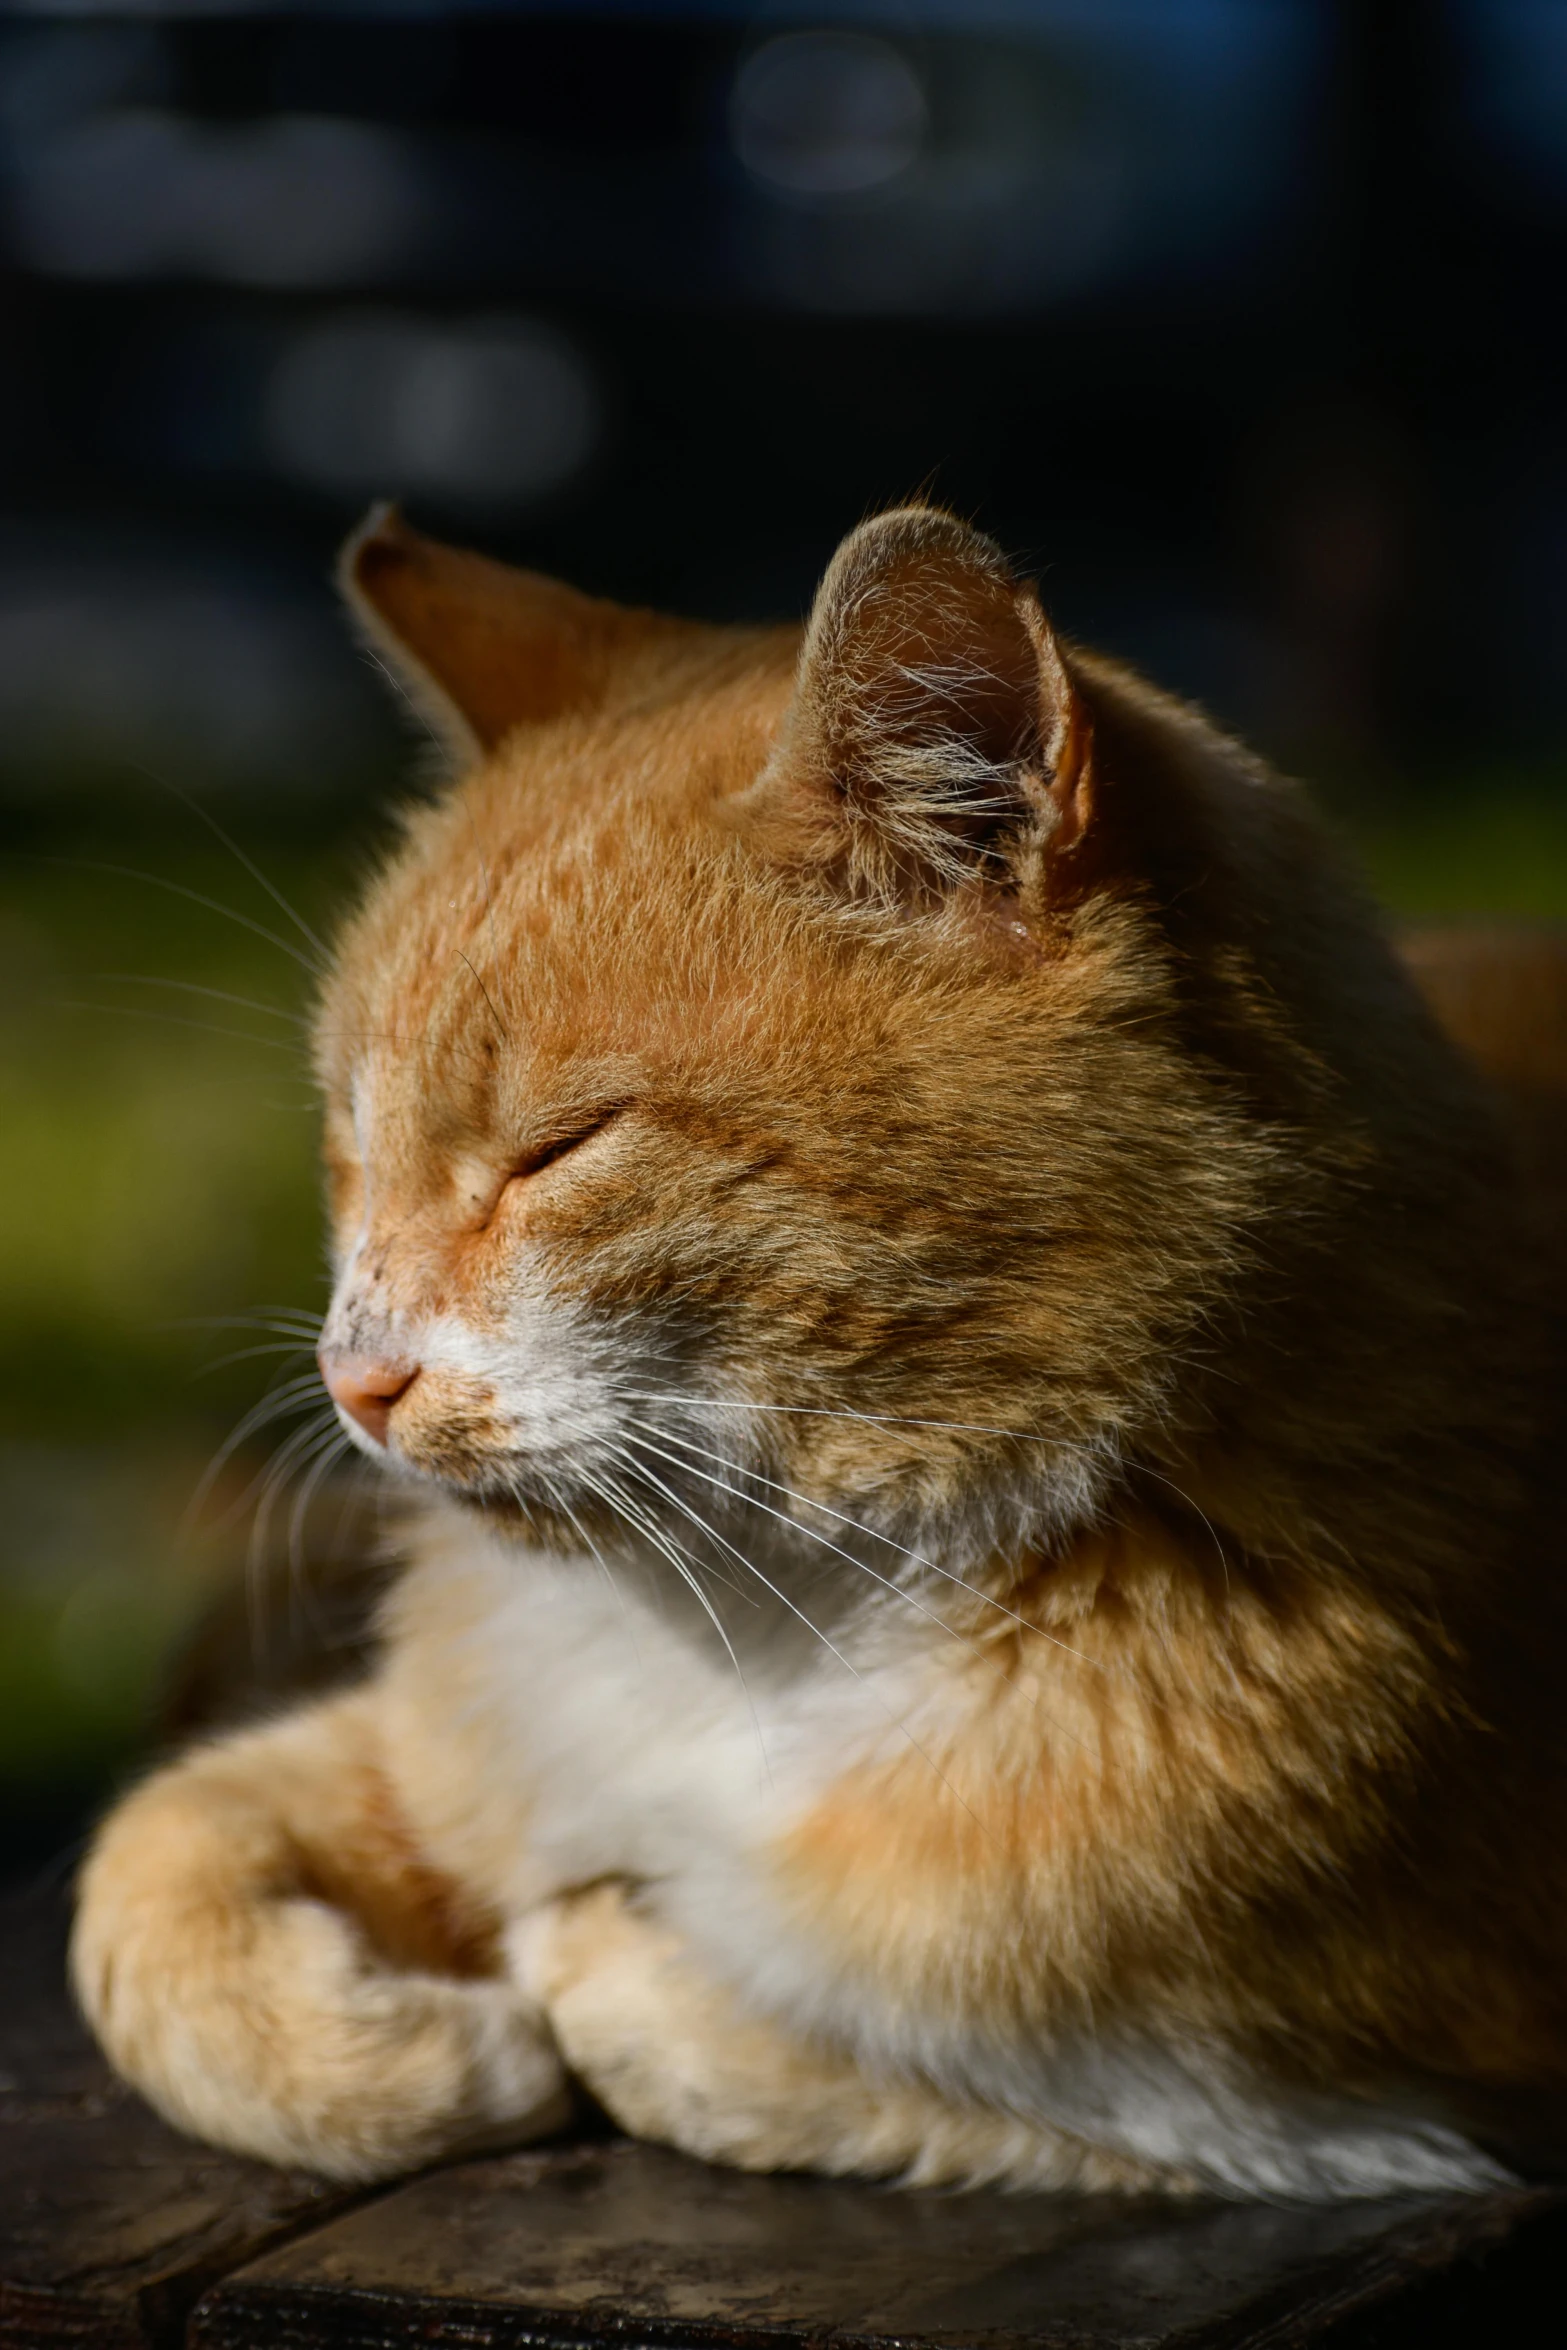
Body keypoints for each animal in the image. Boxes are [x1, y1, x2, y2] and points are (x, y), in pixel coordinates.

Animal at [67, 505, 1567, 2190]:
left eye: (556, 1149)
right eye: (349, 1136)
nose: (352, 1378)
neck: (773, 1615)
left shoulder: (1357, 2109)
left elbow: (787, 2039)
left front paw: (570, 1978)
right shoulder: (447, 1742)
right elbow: (149, 1865)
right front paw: (403, 2056)